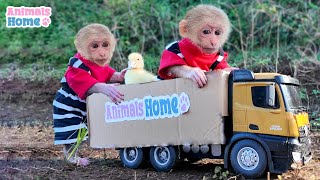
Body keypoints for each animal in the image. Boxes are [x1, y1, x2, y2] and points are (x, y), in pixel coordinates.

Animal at [53, 23, 125, 167]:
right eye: (95, 46)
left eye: (105, 44)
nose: (102, 52)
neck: (91, 61)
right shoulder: (77, 68)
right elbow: (89, 83)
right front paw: (108, 89)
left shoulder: (103, 67)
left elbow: (110, 73)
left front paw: (122, 74)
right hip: (65, 114)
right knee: (72, 132)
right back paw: (72, 158)